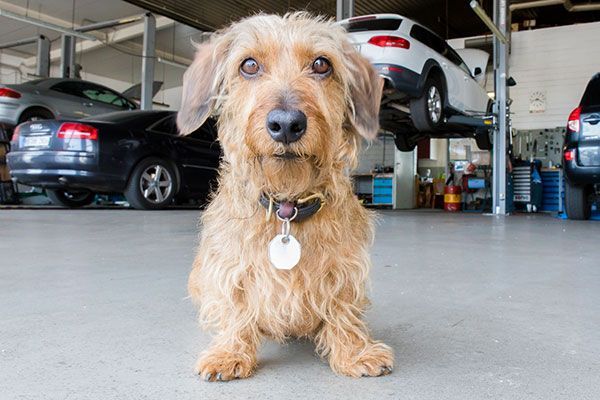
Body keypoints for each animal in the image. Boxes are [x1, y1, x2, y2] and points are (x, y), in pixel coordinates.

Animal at [177, 13, 394, 382]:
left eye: (322, 64)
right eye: (249, 65)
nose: (287, 123)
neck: (287, 207)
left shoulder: (344, 268)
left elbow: (343, 305)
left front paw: (355, 351)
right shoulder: (231, 267)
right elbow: (235, 304)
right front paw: (229, 352)